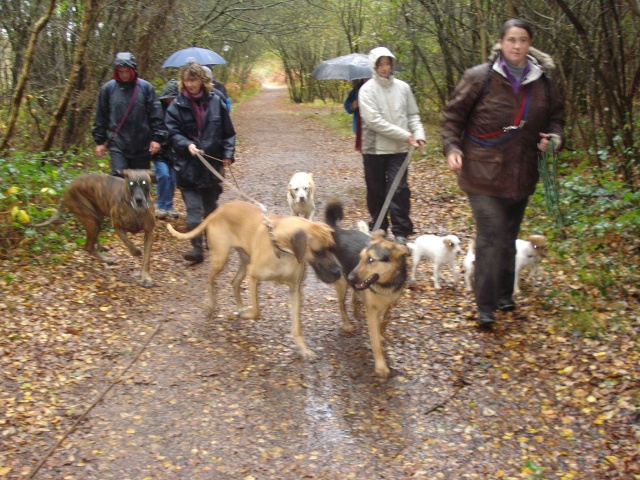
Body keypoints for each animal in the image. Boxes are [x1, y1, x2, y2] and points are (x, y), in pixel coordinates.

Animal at [324, 200, 410, 378]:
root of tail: (338, 230)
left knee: (354, 295)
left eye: (371, 260)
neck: (385, 284)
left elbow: (380, 325)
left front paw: (381, 336)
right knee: (341, 304)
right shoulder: (372, 312)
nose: (350, 277)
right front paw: (381, 367)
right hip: (341, 285)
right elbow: (375, 341)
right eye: (361, 258)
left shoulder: (385, 307)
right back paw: (347, 324)